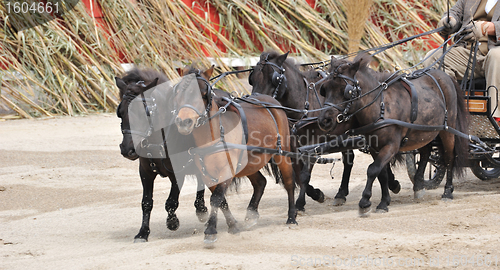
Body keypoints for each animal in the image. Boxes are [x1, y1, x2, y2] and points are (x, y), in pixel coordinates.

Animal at [116, 68, 208, 243]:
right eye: (120, 112)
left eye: (144, 112)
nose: (127, 150)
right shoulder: (145, 172)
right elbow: (146, 203)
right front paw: (143, 233)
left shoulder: (179, 172)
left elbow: (171, 202)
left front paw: (172, 222)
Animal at [174, 66, 296, 245]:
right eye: (178, 92)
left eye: (203, 93)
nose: (184, 122)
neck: (214, 137)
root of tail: (271, 101)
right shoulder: (207, 174)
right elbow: (222, 200)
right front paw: (233, 225)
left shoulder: (227, 170)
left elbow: (216, 198)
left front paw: (211, 231)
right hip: (249, 162)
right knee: (260, 182)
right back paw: (251, 215)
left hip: (282, 154)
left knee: (288, 182)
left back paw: (292, 217)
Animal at [250, 51, 402, 210]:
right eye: (252, 79)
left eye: (275, 78)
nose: (256, 103)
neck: (305, 103)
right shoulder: (295, 146)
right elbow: (299, 174)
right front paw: (315, 194)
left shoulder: (314, 142)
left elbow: (305, 174)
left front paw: (301, 202)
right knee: (351, 159)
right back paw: (343, 193)